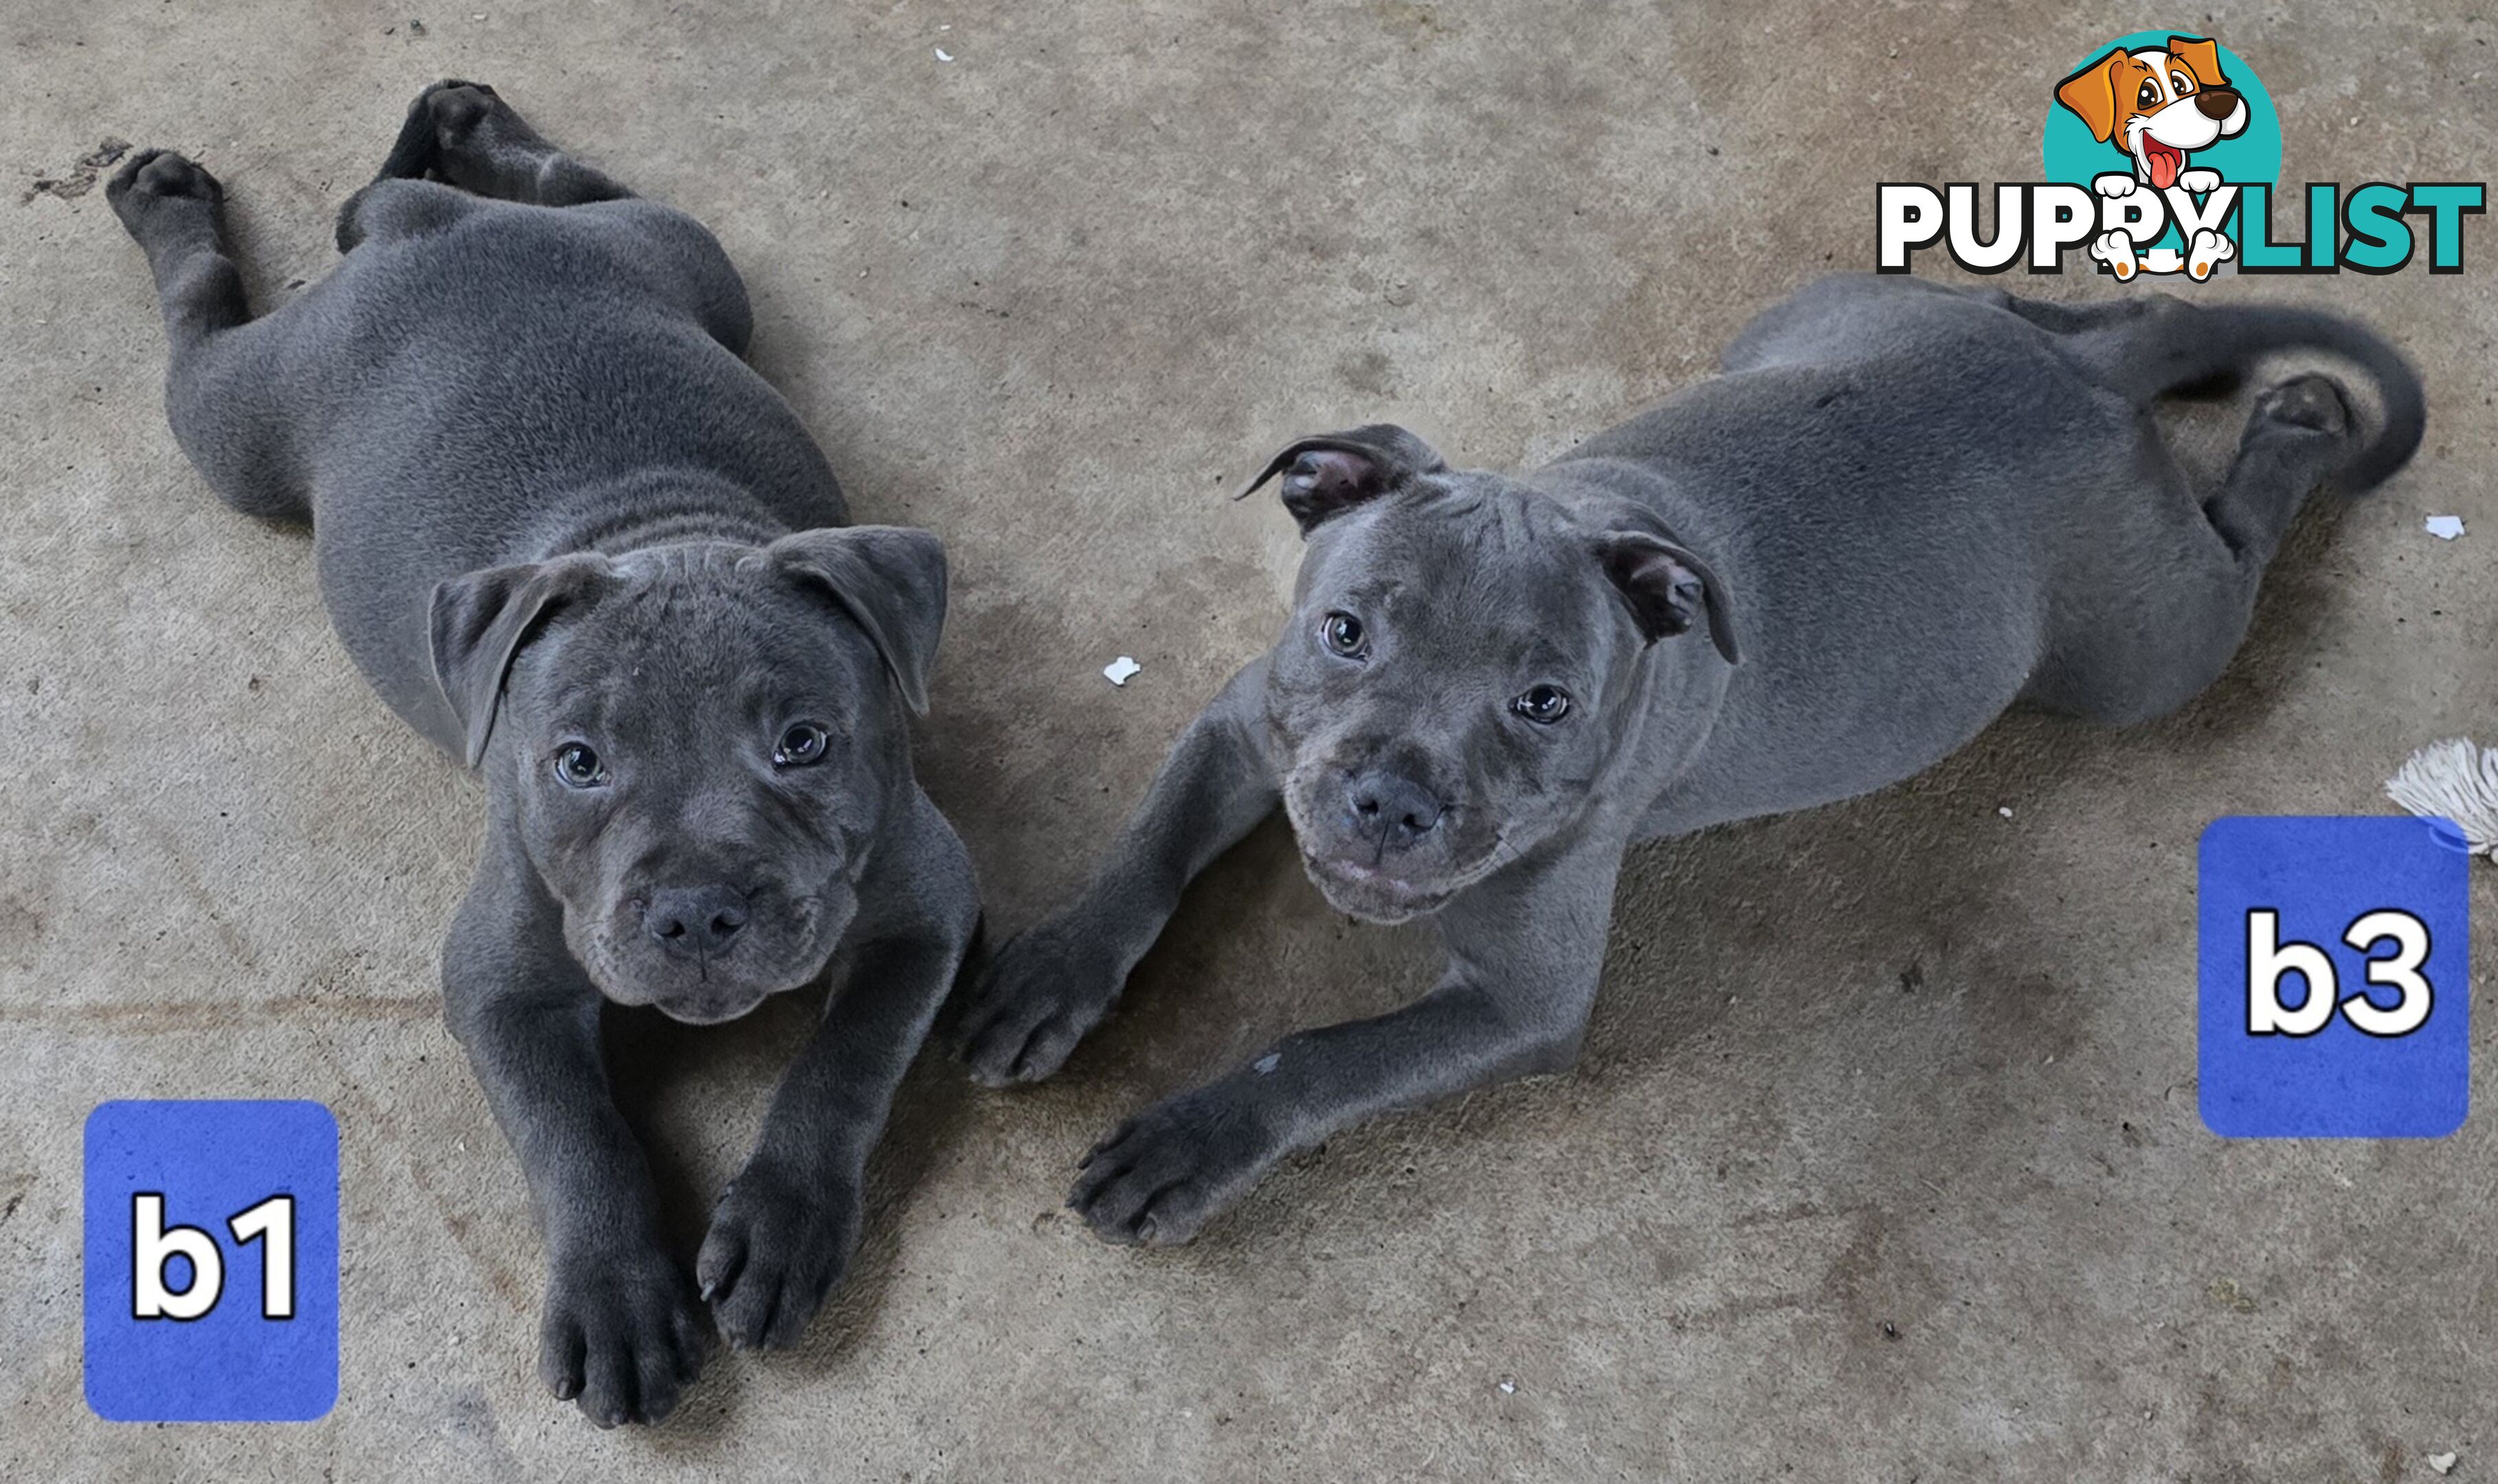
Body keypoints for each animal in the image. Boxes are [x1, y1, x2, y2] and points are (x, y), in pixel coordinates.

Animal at [112, 83, 979, 1419]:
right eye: (576, 762)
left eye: (805, 743)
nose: (695, 912)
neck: (661, 533)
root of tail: (426, 228)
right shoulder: (500, 977)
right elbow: (575, 1135)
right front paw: (619, 1297)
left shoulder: (926, 904)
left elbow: (846, 1062)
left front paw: (781, 1228)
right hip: (244, 425)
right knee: (201, 311)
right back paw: (168, 202)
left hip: (683, 263)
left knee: (589, 186)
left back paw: (479, 130)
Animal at [954, 271, 2418, 1244]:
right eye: (1346, 629)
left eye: (1544, 702)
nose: (1389, 802)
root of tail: (2093, 396)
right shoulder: (1245, 723)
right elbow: (1146, 854)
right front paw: (1047, 975)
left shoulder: (1520, 1002)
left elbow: (1312, 1056)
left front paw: (1191, 1141)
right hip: (1813, 319)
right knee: (2085, 316)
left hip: (2152, 649)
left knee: (2241, 540)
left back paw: (2293, 427)